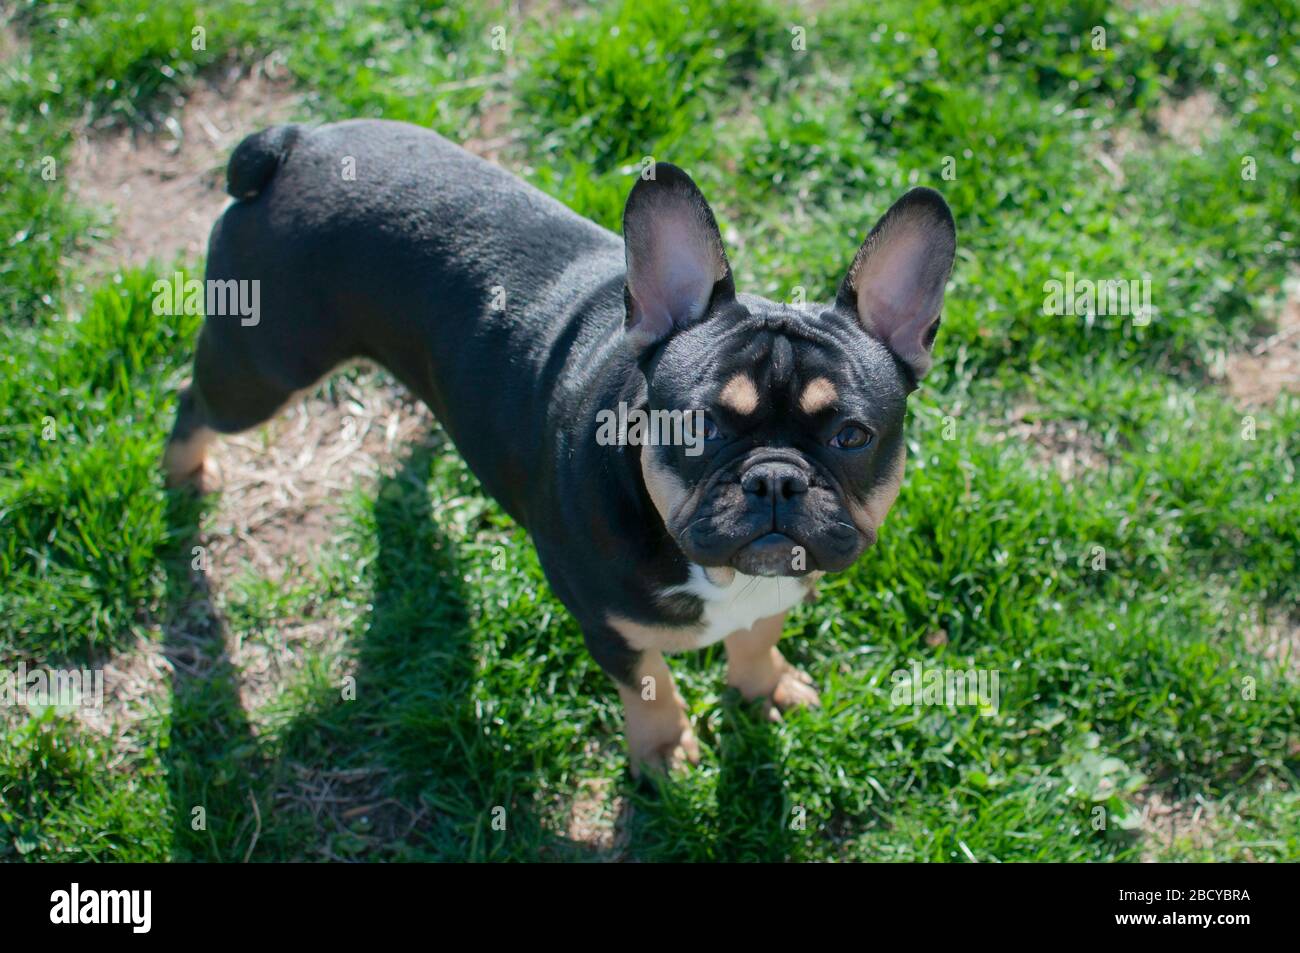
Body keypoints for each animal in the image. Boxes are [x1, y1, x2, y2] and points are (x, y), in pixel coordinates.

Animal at [165, 118, 956, 774]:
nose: (776, 479)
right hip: (263, 368)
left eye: (851, 436)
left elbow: (757, 636)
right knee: (194, 404)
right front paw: (664, 748)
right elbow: (649, 682)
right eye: (699, 429)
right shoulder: (607, 627)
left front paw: (766, 686)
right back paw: (183, 476)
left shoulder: (778, 588)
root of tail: (294, 144)